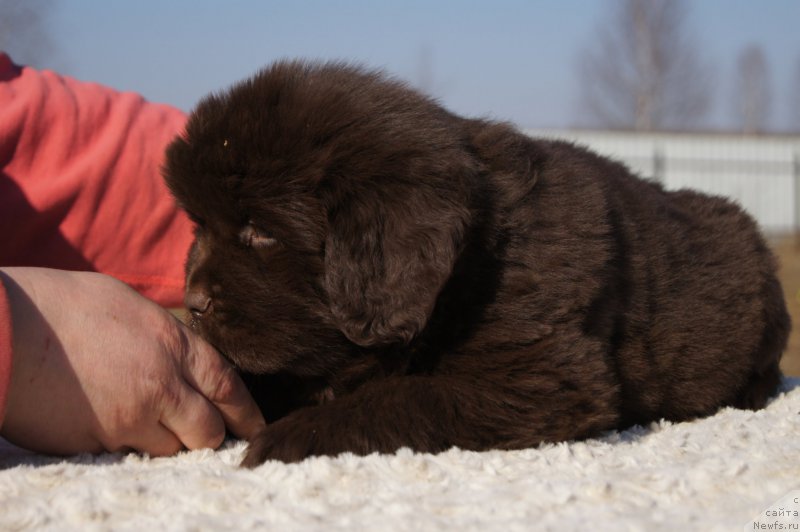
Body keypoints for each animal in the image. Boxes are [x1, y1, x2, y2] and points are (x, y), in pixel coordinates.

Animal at [161, 59, 788, 466]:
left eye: (259, 232)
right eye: (199, 226)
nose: (192, 304)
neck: (467, 270)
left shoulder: (545, 375)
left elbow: (407, 396)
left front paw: (293, 436)